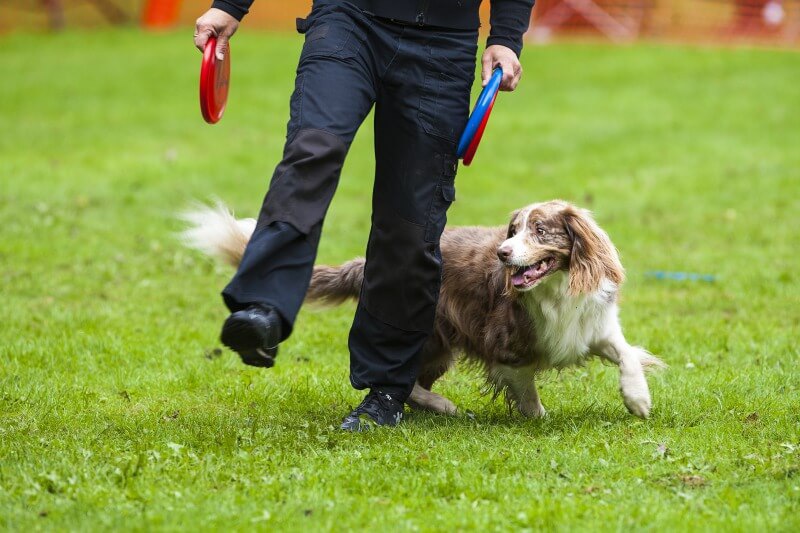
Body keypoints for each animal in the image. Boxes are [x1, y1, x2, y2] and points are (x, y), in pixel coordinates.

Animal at [183, 201, 664, 420]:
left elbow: (626, 354)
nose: (503, 254)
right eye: (512, 230)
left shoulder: (592, 325)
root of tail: (368, 264)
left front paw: (638, 399)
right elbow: (526, 392)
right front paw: (538, 418)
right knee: (401, 382)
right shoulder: (506, 346)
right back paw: (444, 407)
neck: (556, 288)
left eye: (540, 231)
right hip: (433, 337)